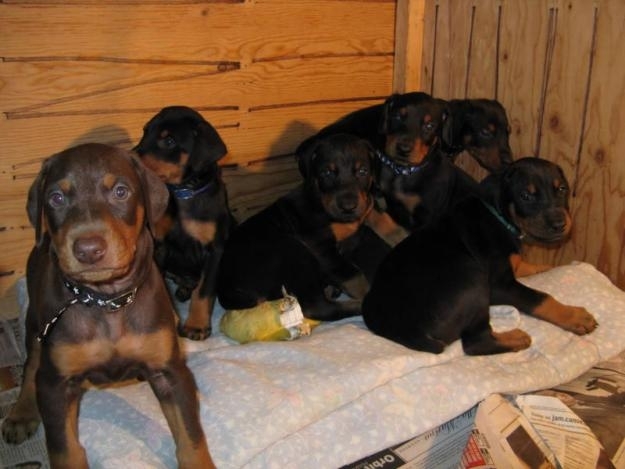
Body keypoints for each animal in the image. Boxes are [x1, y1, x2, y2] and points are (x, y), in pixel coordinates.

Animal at [1, 143, 213, 468]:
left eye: (121, 192)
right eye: (56, 197)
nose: (88, 250)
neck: (107, 301)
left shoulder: (170, 372)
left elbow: (191, 437)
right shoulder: (56, 385)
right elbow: (64, 448)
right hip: (36, 323)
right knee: (31, 365)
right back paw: (21, 414)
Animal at [133, 105, 233, 340]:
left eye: (169, 141)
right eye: (145, 132)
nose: (129, 158)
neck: (183, 193)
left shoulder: (214, 250)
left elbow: (204, 292)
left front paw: (196, 326)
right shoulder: (159, 246)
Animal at [218, 133, 386, 320]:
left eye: (363, 171)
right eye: (327, 173)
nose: (348, 206)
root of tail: (228, 291)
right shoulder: (319, 244)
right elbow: (354, 276)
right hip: (292, 250)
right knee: (316, 307)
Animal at [364, 157, 596, 354]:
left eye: (562, 189)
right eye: (526, 196)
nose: (560, 224)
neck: (499, 214)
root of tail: (397, 329)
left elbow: (522, 264)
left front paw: (545, 268)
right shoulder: (498, 285)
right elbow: (540, 297)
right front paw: (574, 316)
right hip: (474, 279)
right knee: (475, 344)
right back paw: (516, 339)